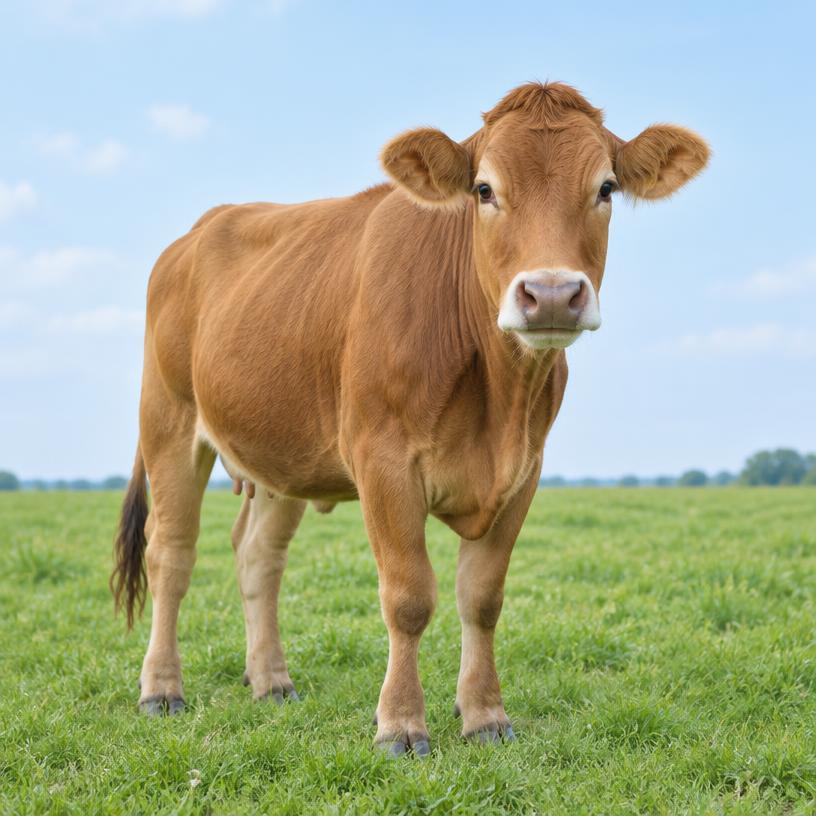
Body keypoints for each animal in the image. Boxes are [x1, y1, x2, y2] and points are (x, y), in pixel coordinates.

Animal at [111, 82, 709, 756]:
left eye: (605, 188)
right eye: (484, 189)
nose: (552, 294)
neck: (497, 402)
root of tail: (199, 229)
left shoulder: (524, 472)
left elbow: (482, 598)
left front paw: (484, 715)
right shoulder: (383, 463)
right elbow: (408, 597)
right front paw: (400, 723)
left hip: (282, 454)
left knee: (258, 555)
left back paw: (271, 681)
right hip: (169, 423)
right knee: (171, 554)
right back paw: (161, 688)